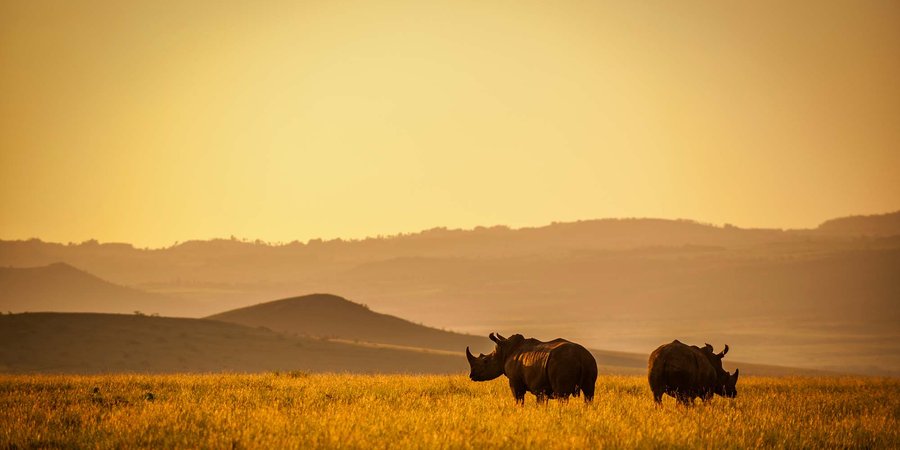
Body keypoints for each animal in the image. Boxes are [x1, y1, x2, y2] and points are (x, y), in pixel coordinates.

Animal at [466, 333, 598, 405]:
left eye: (485, 361)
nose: (472, 376)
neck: (504, 351)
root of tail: (580, 356)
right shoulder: (541, 388)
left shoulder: (515, 381)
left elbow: (519, 399)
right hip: (589, 362)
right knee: (589, 394)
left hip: (564, 363)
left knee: (562, 395)